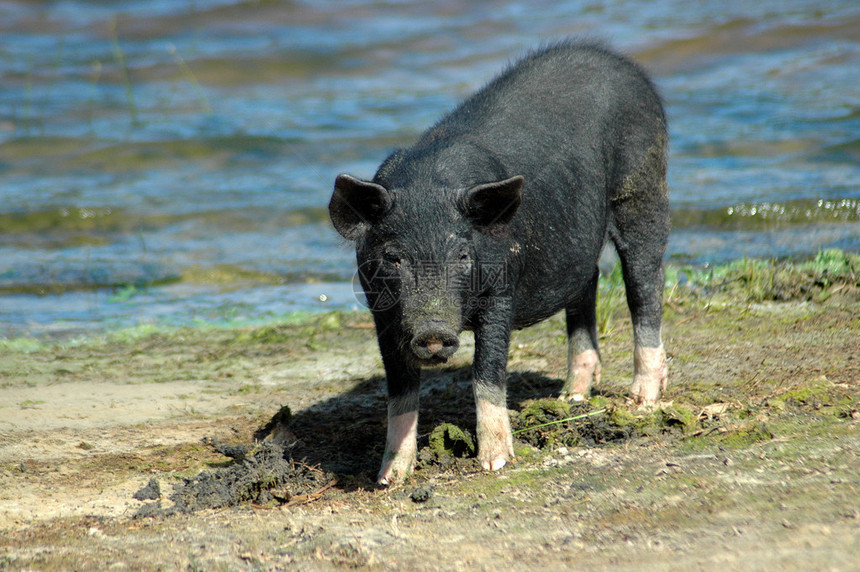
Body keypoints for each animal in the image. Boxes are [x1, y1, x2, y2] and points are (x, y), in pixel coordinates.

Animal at [330, 42, 672, 484]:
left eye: (461, 255)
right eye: (393, 257)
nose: (433, 332)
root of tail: (621, 64)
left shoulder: (501, 291)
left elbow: (487, 371)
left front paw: (495, 463)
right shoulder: (382, 311)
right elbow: (400, 390)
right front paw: (389, 479)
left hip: (642, 186)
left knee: (645, 283)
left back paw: (641, 401)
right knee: (589, 280)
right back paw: (572, 396)